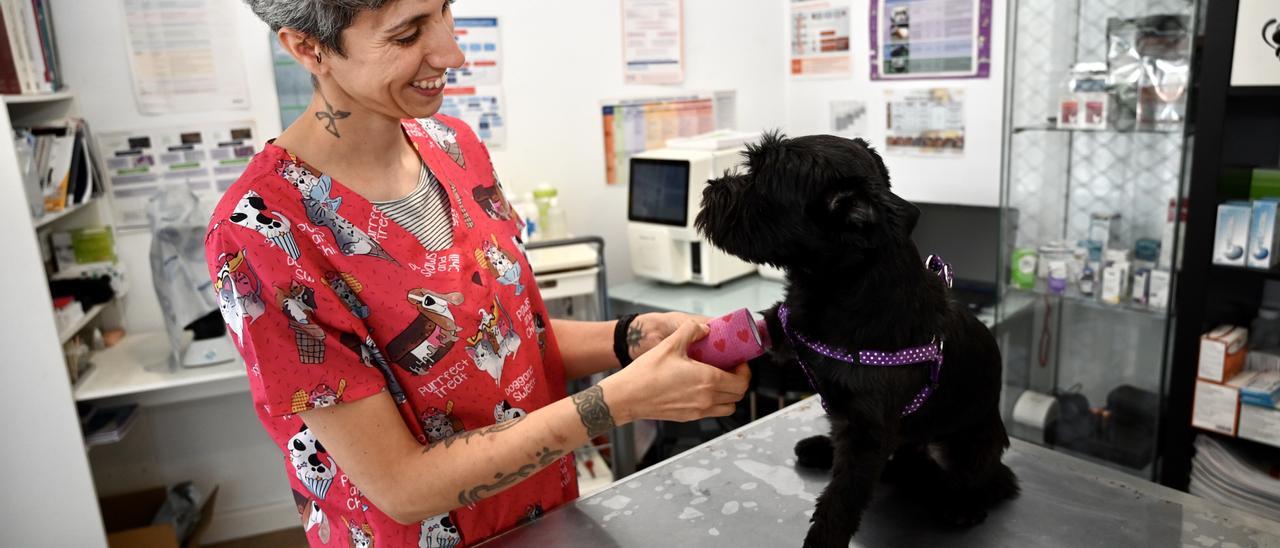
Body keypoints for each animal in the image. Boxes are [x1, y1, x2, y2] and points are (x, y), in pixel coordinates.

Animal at [696, 133, 1013, 548]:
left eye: (759, 180)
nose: (710, 189)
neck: (835, 291)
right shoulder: (784, 333)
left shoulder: (867, 435)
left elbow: (841, 498)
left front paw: (821, 541)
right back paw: (820, 447)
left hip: (963, 445)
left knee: (986, 481)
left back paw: (964, 505)